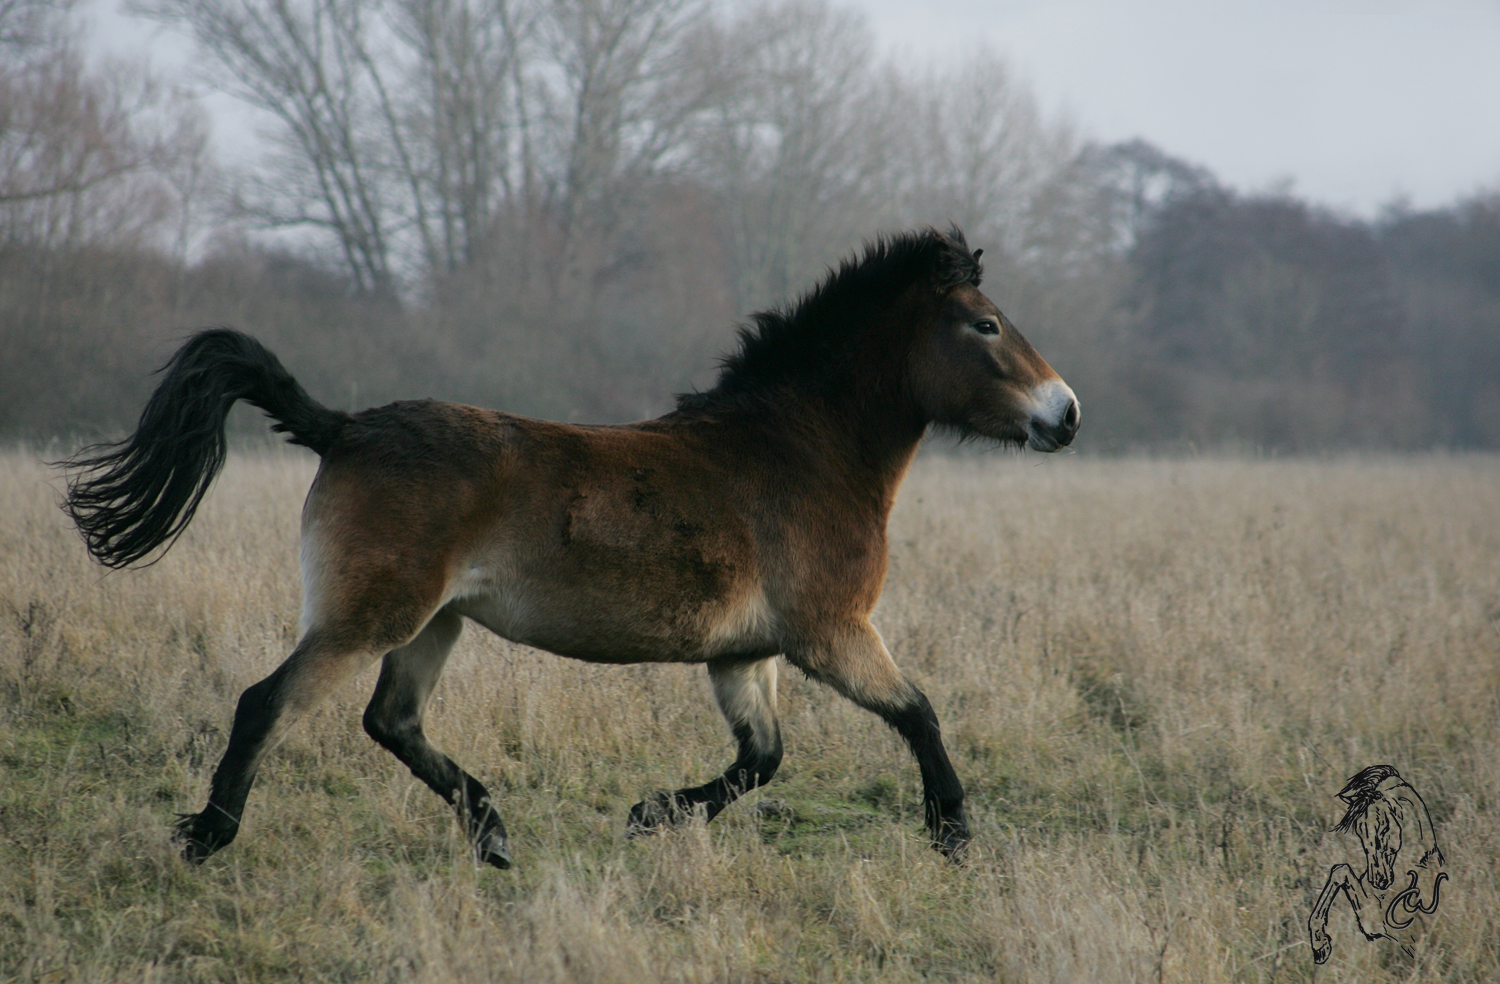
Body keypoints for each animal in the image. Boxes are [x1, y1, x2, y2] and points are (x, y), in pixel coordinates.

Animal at [61, 226, 1080, 864]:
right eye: (985, 324)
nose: (1065, 414)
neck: (798, 450)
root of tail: (342, 428)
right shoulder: (831, 634)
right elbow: (918, 714)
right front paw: (953, 834)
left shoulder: (744, 655)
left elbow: (762, 760)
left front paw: (649, 816)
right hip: (367, 618)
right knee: (266, 702)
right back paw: (208, 835)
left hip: (434, 623)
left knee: (391, 721)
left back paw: (493, 834)